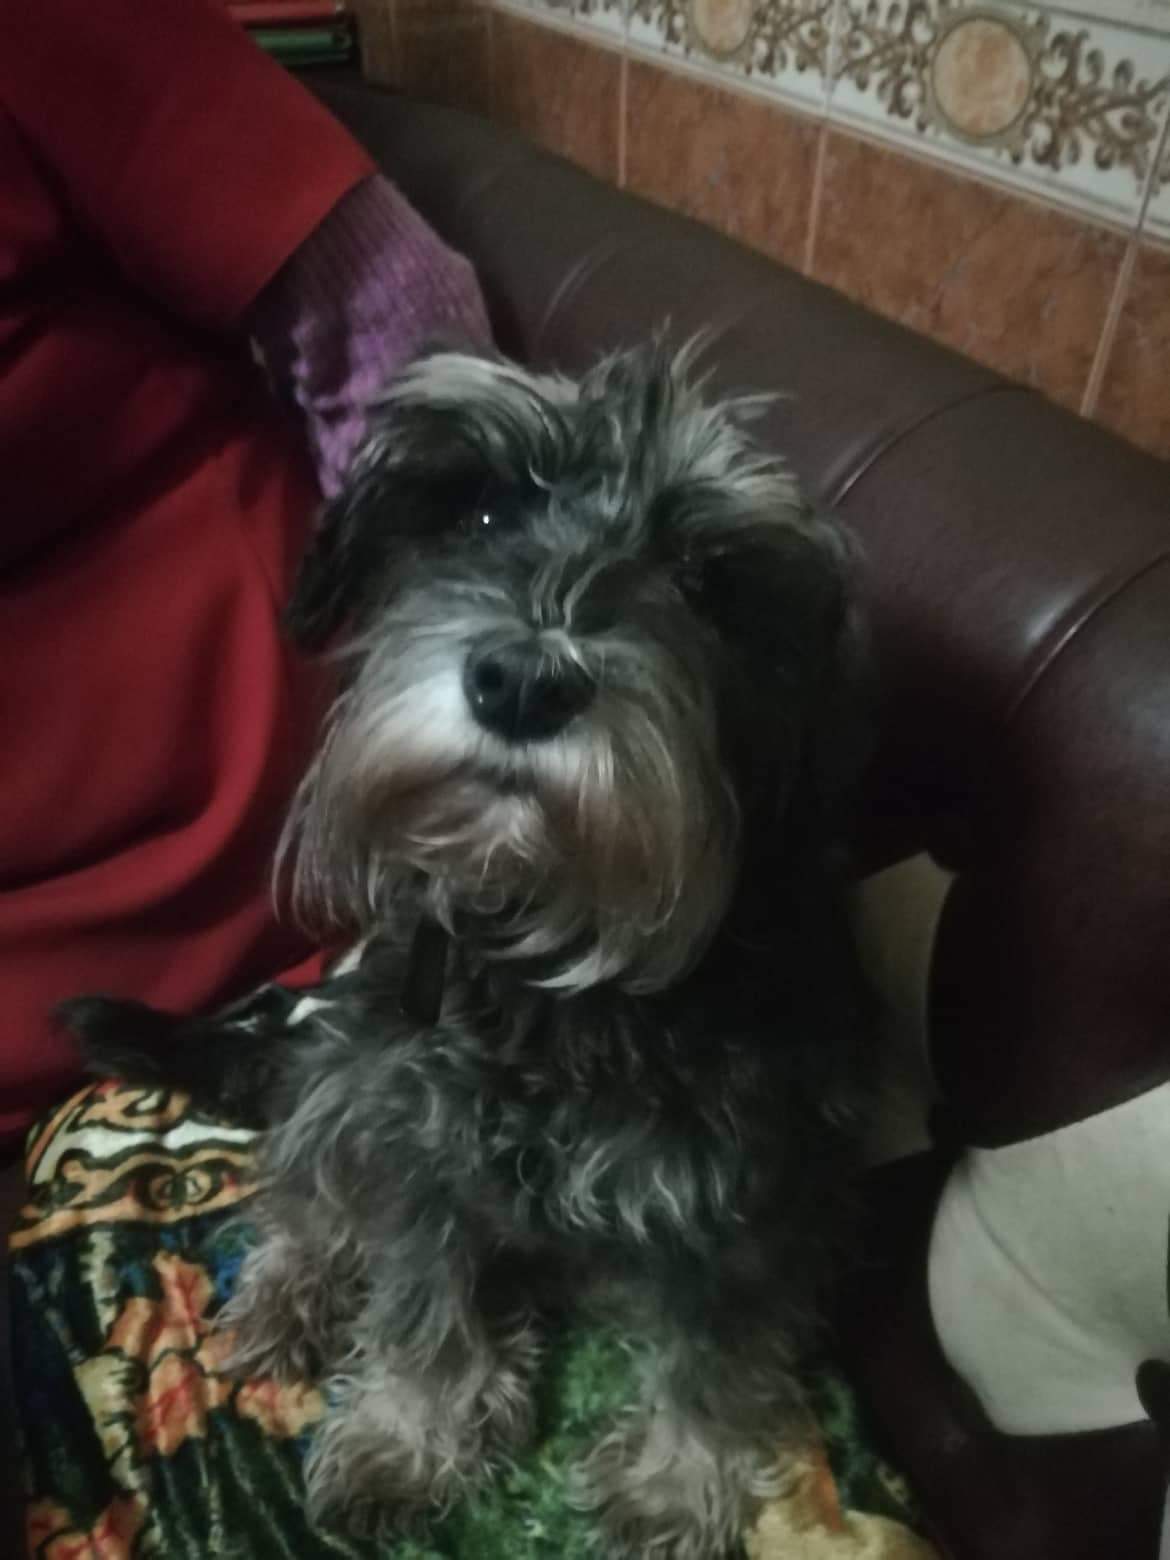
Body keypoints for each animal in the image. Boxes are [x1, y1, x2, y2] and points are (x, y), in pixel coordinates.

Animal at [63, 341, 877, 1560]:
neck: (556, 982)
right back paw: (289, 1298)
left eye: (705, 580)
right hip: (345, 1056)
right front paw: (408, 1440)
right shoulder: (420, 1146)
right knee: (306, 1186)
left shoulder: (751, 1199)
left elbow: (714, 1356)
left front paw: (676, 1486)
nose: (524, 681)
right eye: (483, 509)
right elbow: (422, 1304)